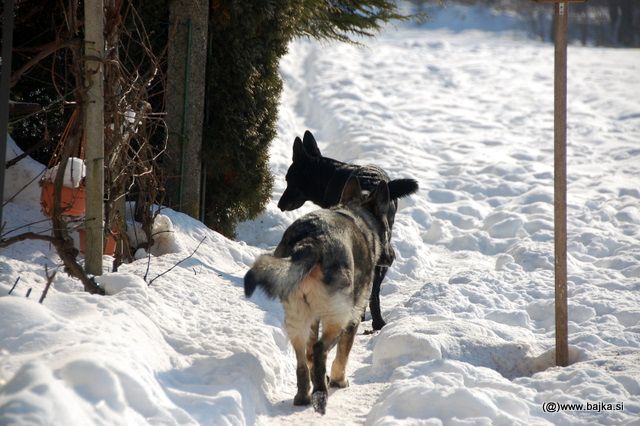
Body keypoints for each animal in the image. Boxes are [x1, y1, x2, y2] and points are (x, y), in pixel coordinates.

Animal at [276, 131, 418, 332]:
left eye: (289, 181)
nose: (279, 205)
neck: (329, 175)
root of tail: (370, 186)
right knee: (373, 291)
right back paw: (376, 321)